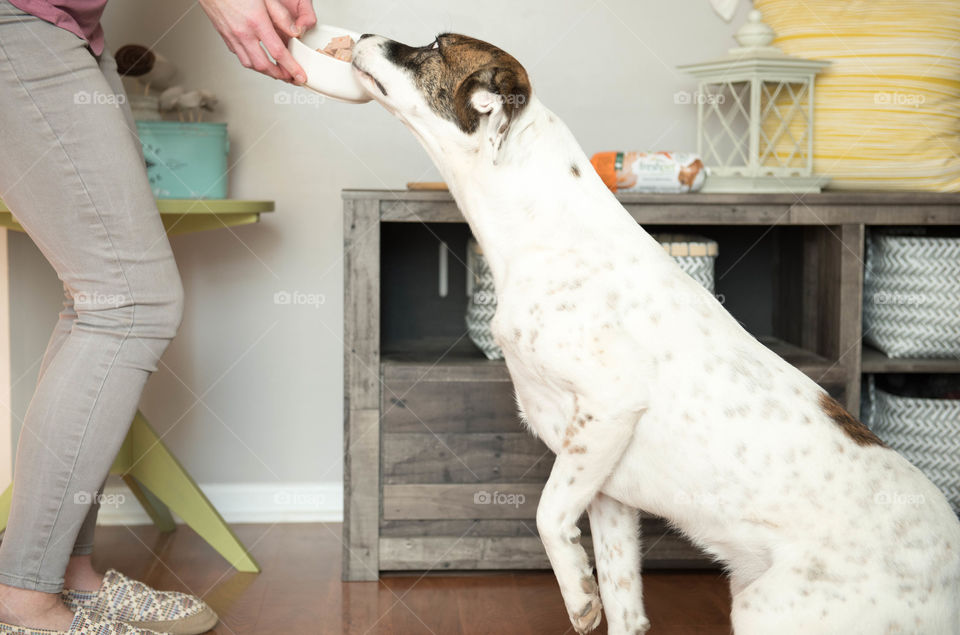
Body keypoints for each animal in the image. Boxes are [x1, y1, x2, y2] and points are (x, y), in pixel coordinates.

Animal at [352, 34, 960, 635]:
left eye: (434, 46)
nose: (362, 36)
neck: (547, 228)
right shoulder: (607, 490)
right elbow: (622, 598)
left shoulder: (609, 404)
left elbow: (547, 515)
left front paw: (577, 594)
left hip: (770, 610)